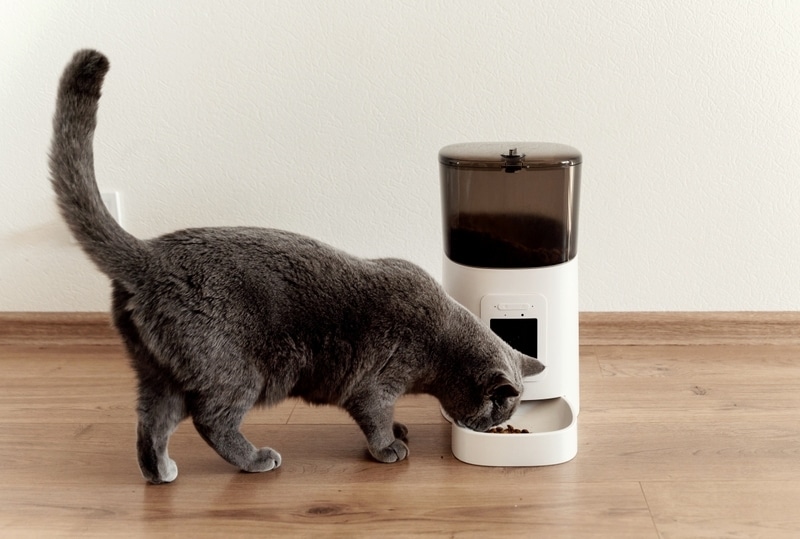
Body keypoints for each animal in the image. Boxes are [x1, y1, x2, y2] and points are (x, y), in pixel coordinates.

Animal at [47, 50, 540, 486]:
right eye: (501, 409)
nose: (492, 427)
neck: (441, 347)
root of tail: (148, 254)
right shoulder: (375, 385)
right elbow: (376, 417)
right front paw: (389, 447)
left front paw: (400, 430)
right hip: (233, 370)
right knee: (211, 420)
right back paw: (255, 460)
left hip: (159, 370)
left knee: (151, 422)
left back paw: (161, 472)